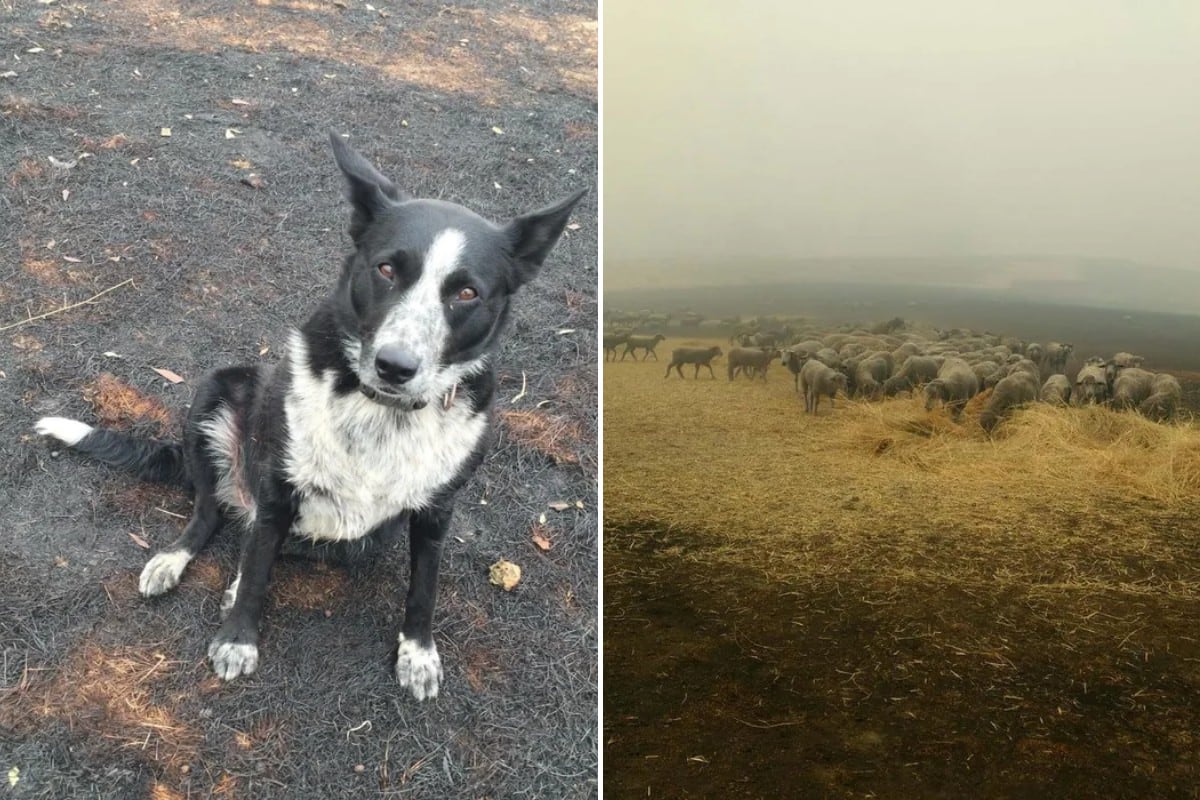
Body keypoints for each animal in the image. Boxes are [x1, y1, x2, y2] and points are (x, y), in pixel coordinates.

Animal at [34, 136, 585, 700]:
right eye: (386, 269)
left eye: (466, 293)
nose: (395, 366)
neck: (380, 411)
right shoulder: (278, 487)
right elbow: (258, 569)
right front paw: (238, 639)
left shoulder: (436, 512)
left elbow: (423, 588)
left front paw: (418, 653)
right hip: (216, 393)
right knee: (212, 514)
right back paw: (175, 560)